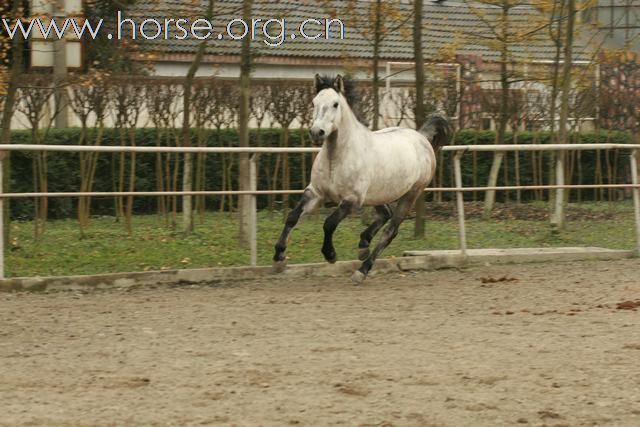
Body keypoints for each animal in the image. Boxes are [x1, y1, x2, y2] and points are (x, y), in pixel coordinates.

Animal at [272, 74, 452, 284]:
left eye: (335, 104)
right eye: (314, 102)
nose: (317, 132)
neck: (336, 158)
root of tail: (421, 137)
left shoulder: (351, 199)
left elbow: (329, 223)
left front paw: (330, 255)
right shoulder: (315, 192)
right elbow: (292, 217)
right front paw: (279, 259)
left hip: (411, 195)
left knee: (390, 231)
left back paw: (362, 270)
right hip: (378, 195)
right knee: (385, 214)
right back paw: (363, 246)